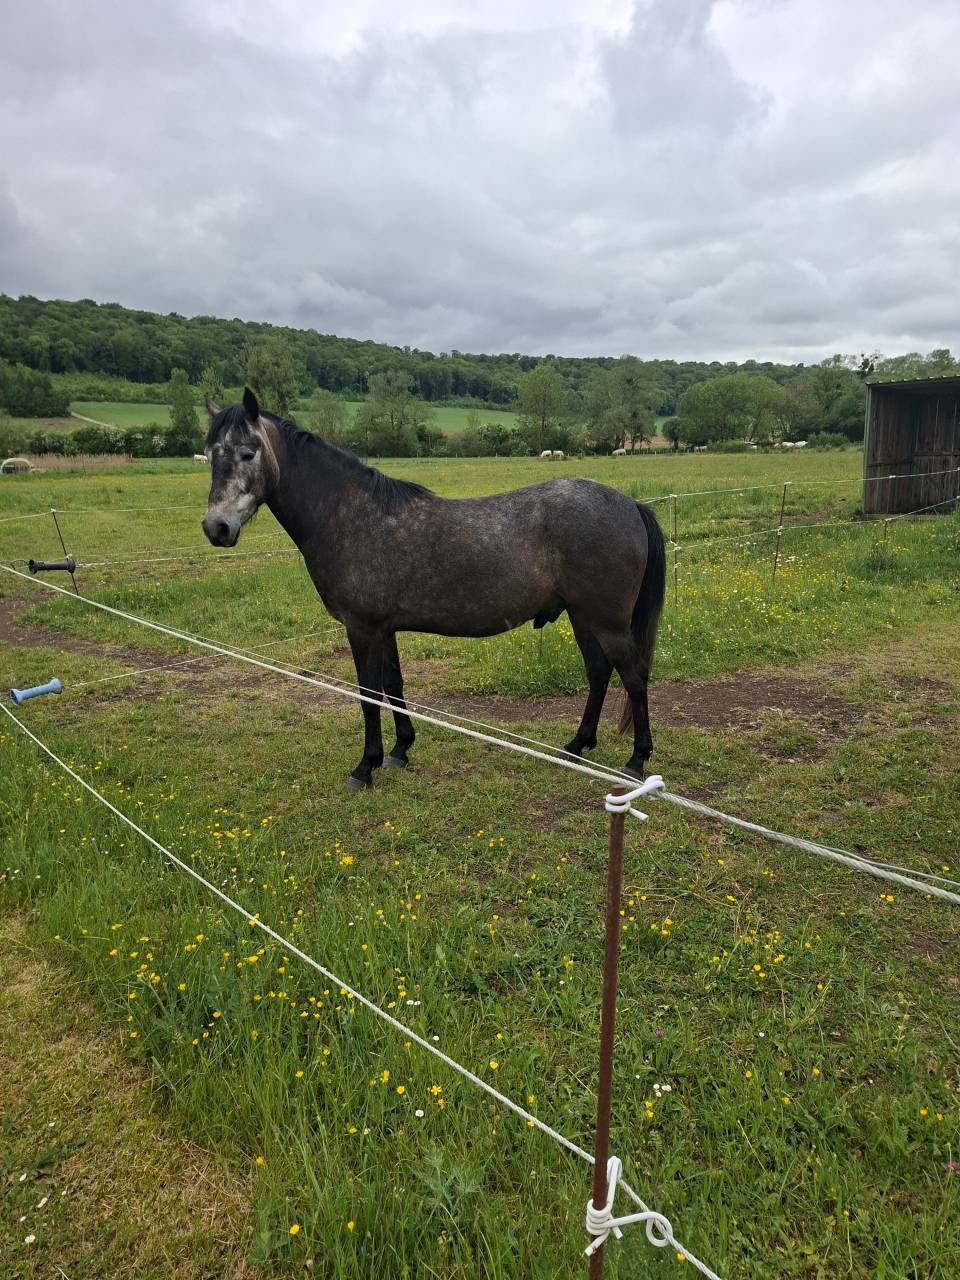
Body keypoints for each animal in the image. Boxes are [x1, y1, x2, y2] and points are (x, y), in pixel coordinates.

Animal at [201, 389, 666, 792]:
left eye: (248, 453)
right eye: (211, 455)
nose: (216, 528)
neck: (351, 516)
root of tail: (630, 504)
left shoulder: (361, 628)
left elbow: (369, 696)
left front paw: (365, 767)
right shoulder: (384, 628)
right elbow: (394, 686)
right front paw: (399, 751)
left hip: (605, 621)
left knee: (634, 675)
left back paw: (636, 760)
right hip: (582, 616)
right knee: (599, 673)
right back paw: (576, 746)